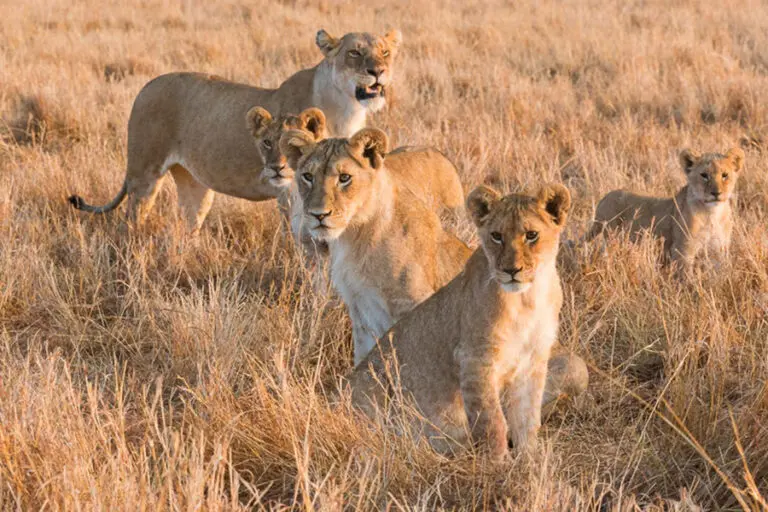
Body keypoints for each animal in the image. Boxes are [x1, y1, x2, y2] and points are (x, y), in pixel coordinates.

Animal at [67, 29, 402, 232]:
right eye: (355, 53)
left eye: (385, 52)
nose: (378, 71)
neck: (346, 108)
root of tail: (145, 86)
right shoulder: (292, 194)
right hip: (144, 174)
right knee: (131, 221)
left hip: (194, 183)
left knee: (188, 222)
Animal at [280, 128, 588, 425]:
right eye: (307, 176)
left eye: (344, 178)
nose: (318, 215)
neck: (355, 235)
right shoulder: (360, 310)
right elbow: (365, 359)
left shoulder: (412, 302)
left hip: (570, 365)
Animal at [347, 184, 575, 460]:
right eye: (496, 236)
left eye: (531, 235)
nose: (511, 270)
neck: (528, 300)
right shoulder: (475, 359)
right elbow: (491, 420)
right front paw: (498, 463)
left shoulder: (532, 362)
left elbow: (527, 417)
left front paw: (529, 459)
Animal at [585, 147, 744, 268]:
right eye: (704, 175)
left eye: (725, 175)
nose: (716, 193)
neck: (712, 213)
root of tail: (604, 197)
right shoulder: (683, 250)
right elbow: (686, 279)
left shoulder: (719, 251)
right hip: (611, 237)